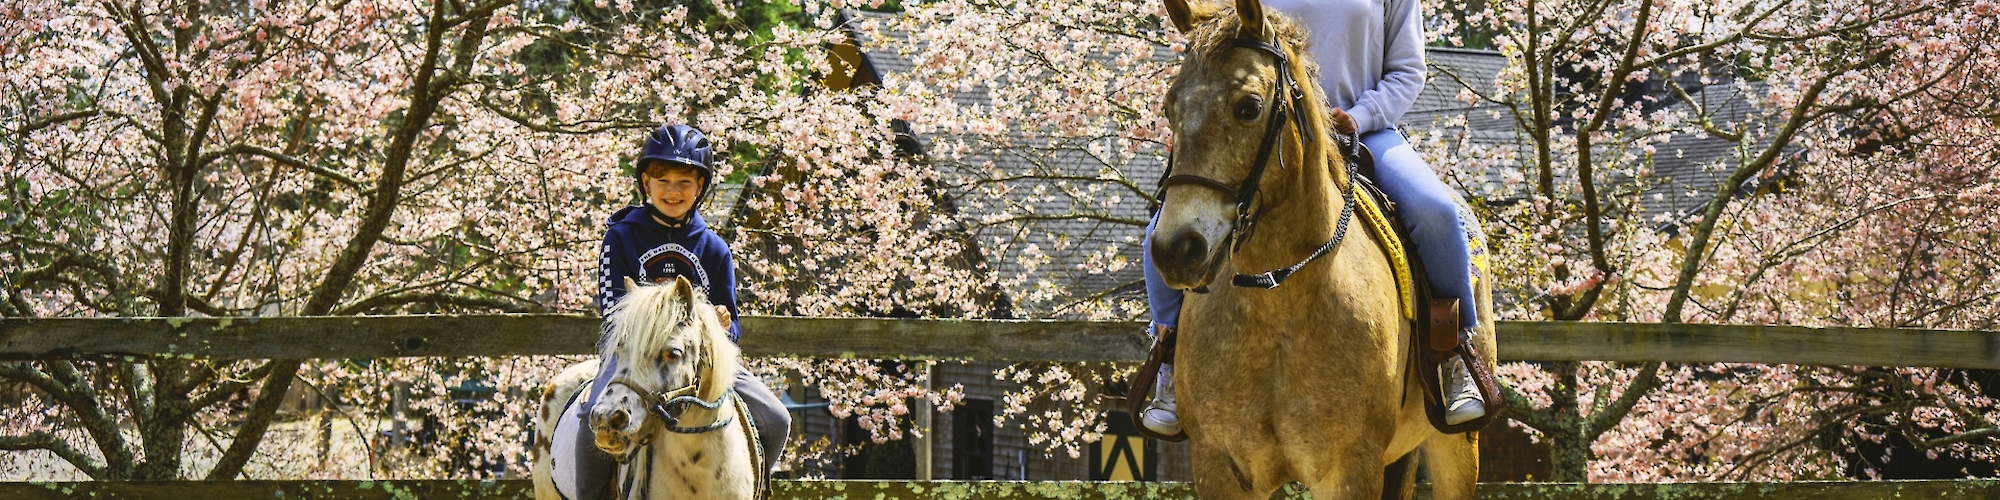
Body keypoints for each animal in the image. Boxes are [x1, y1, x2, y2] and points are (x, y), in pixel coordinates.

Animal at [1144, 0, 1504, 500]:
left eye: (1249, 107)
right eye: (1169, 105)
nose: (1177, 249)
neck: (1277, 302)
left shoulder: (1351, 469)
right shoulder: (1218, 465)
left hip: (1456, 448)